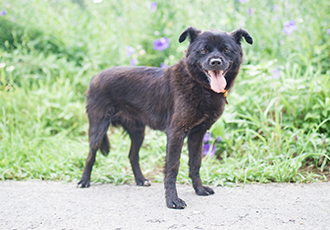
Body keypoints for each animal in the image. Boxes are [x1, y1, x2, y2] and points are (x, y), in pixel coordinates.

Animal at [78, 26, 253, 208]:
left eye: (226, 50)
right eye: (204, 50)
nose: (216, 62)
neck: (199, 85)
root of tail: (94, 77)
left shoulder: (198, 134)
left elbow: (195, 164)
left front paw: (199, 189)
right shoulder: (176, 133)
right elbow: (172, 168)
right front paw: (172, 200)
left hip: (138, 132)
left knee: (132, 155)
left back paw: (141, 180)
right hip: (98, 128)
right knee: (91, 155)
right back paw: (84, 181)